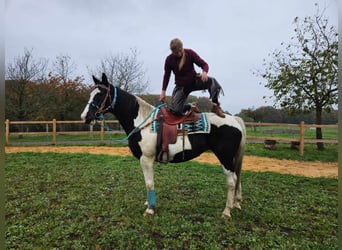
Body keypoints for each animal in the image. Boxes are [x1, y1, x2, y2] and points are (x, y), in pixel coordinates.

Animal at [81, 73, 246, 219]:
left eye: (100, 94)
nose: (85, 117)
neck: (142, 122)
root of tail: (234, 120)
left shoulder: (146, 159)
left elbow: (149, 183)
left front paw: (150, 209)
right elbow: (147, 183)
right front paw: (148, 203)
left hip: (225, 157)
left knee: (231, 182)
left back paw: (226, 212)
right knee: (237, 178)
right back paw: (236, 203)